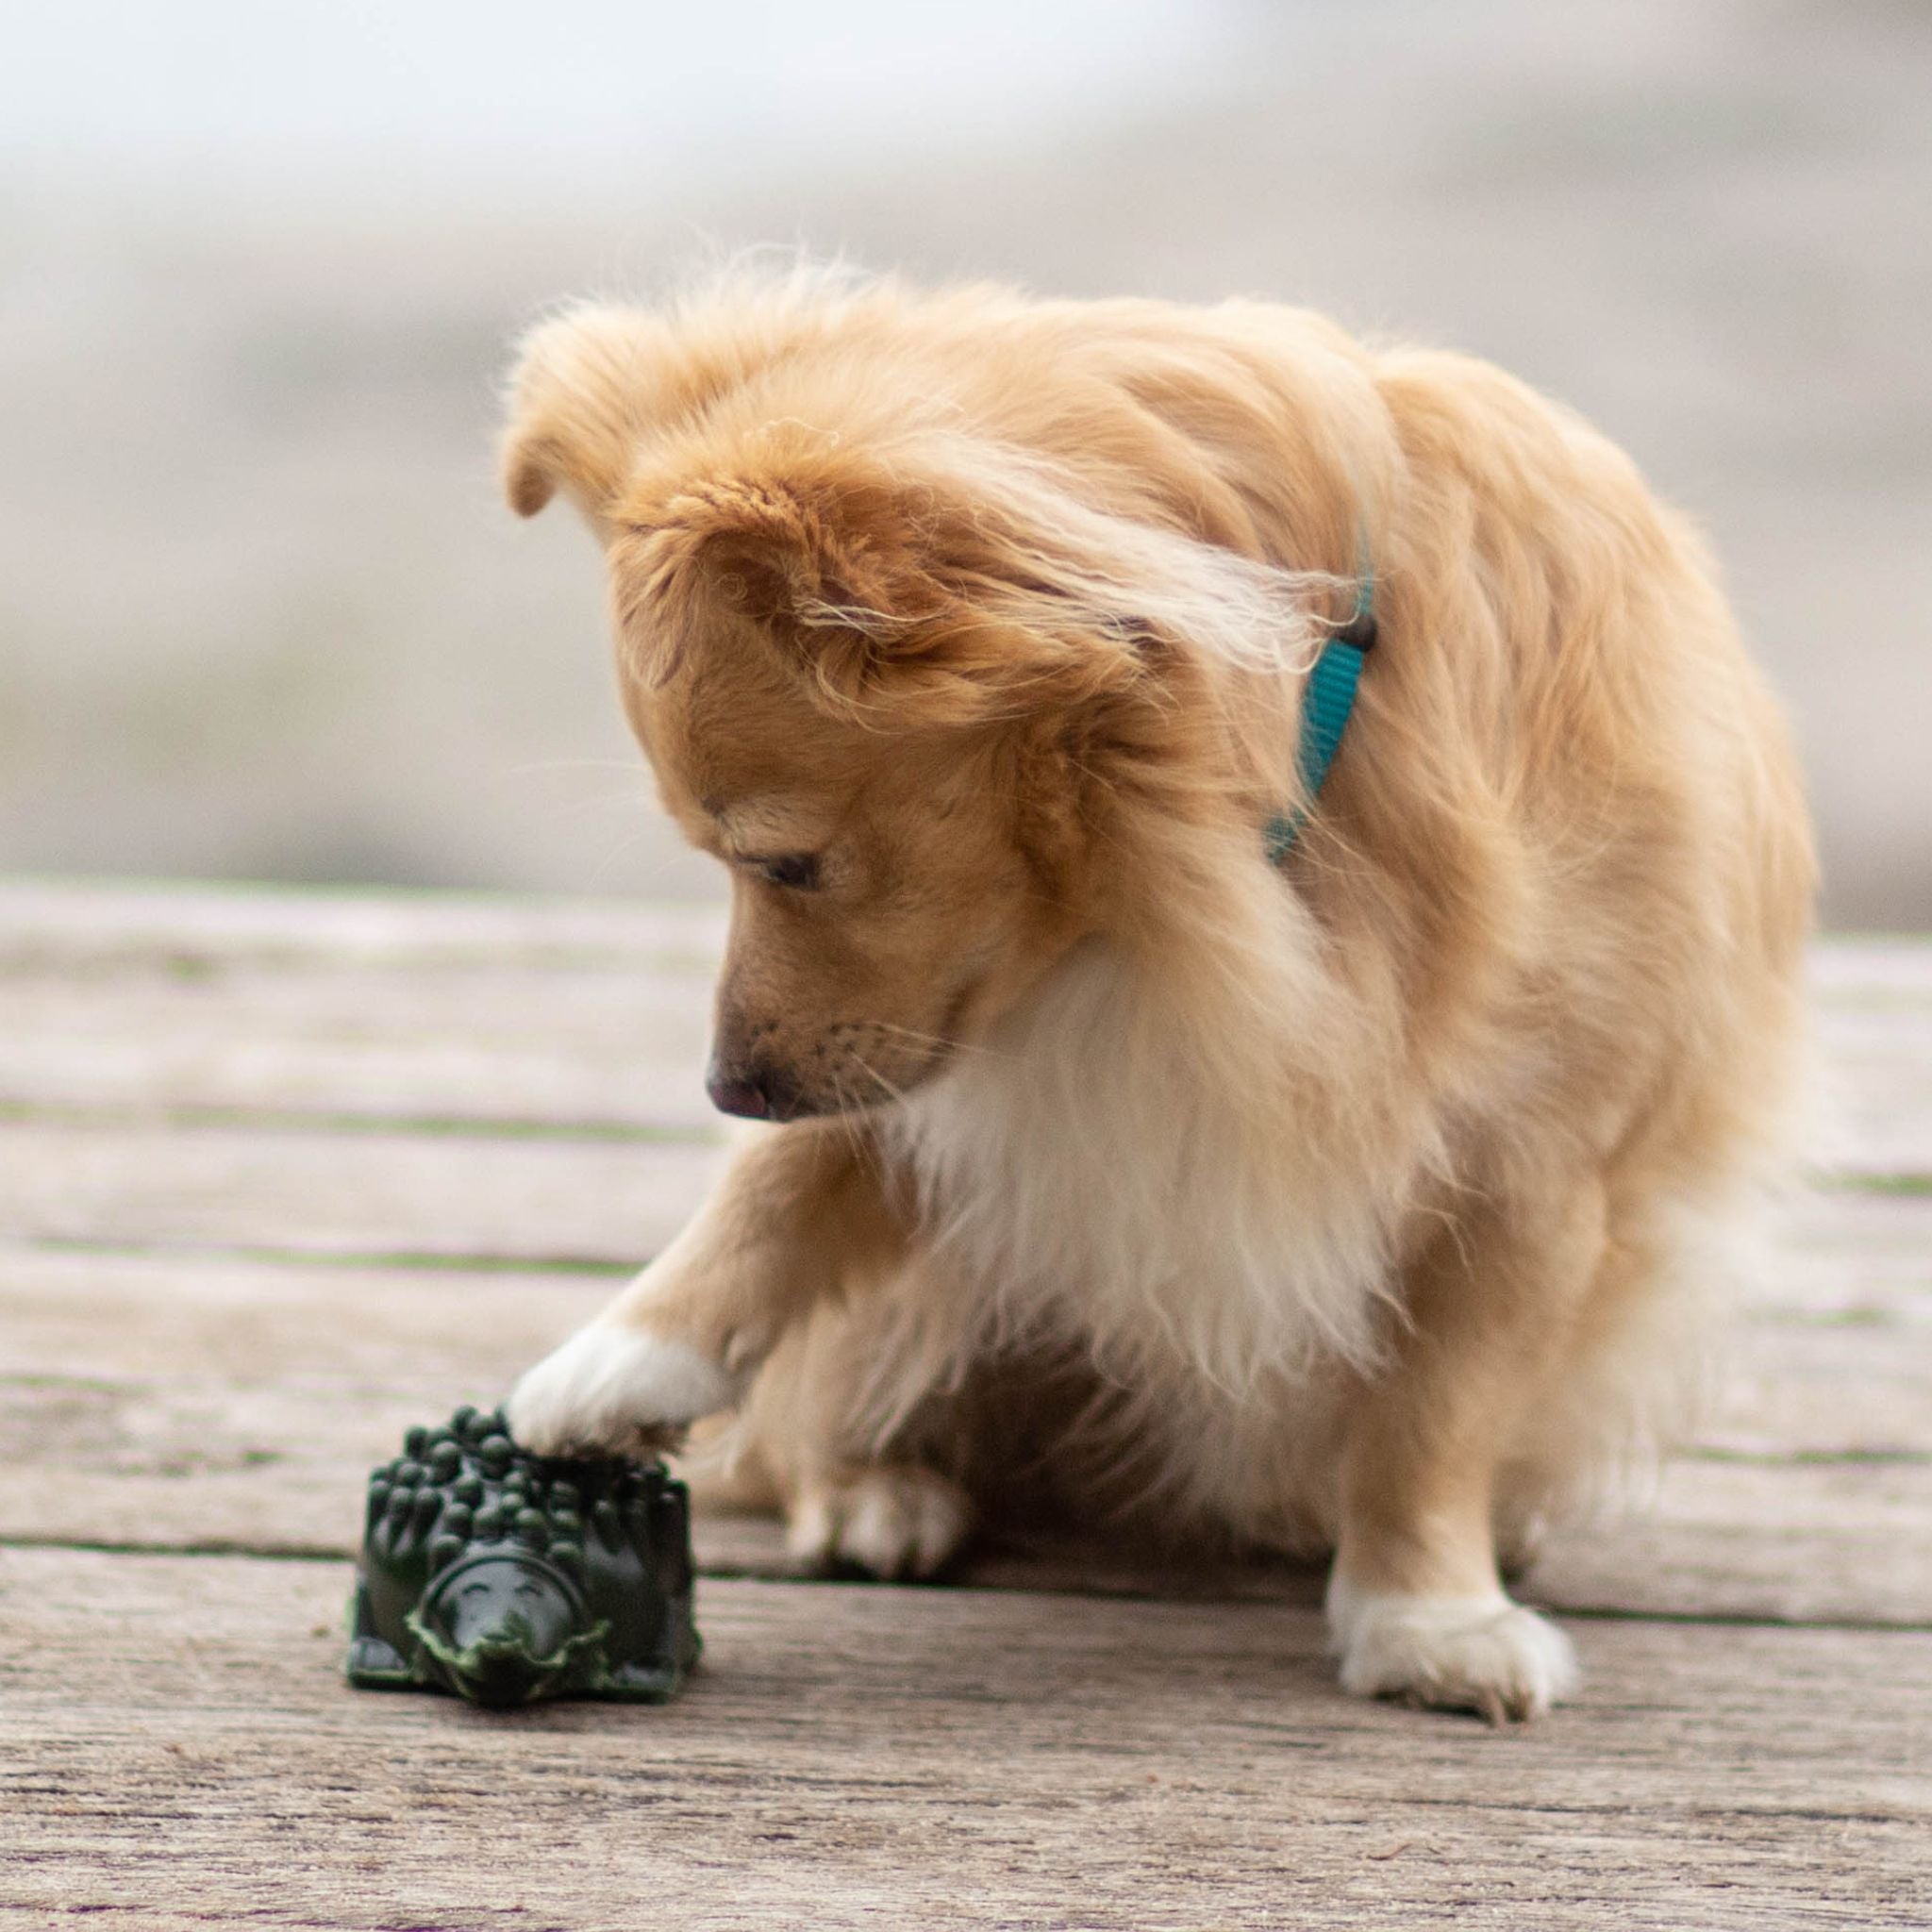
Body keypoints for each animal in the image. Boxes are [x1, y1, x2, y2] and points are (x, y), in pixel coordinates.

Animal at [494, 260, 1807, 1723]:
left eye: (784, 861)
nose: (730, 1086)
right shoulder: (944, 1052)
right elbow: (785, 1186)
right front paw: (626, 1358)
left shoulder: (1533, 1170)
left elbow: (1438, 1412)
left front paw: (1428, 1610)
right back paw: (874, 1489)